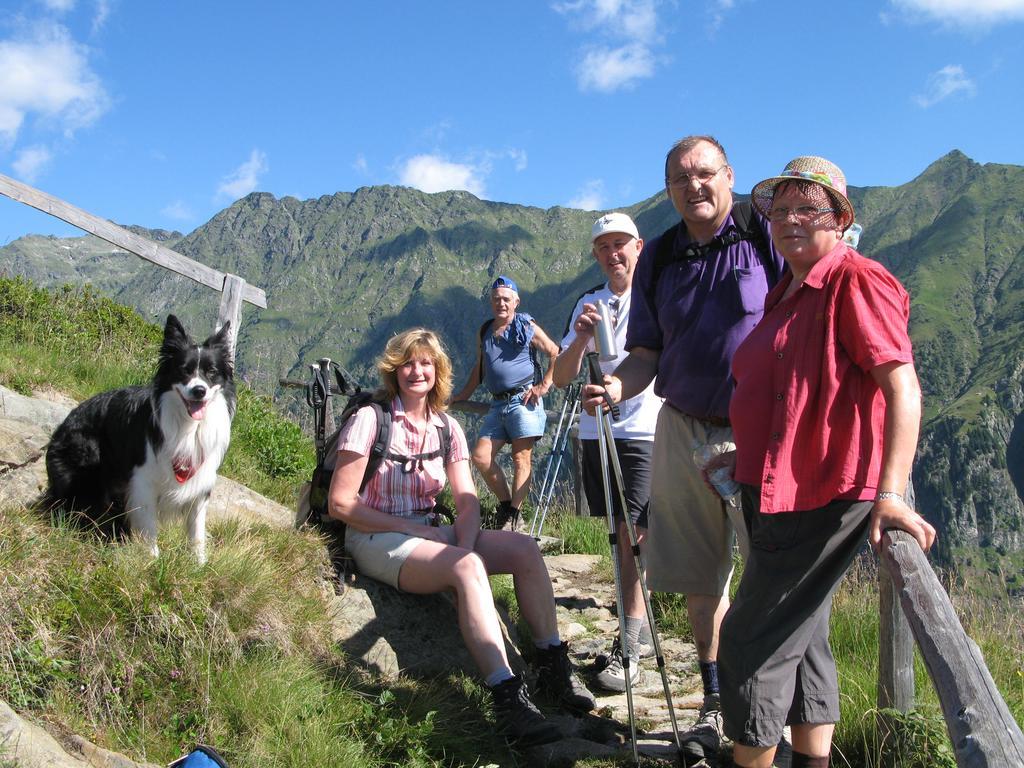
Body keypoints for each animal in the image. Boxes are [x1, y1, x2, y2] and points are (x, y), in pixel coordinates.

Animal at [46, 313, 235, 565]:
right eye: (184, 370)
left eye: (212, 372)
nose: (199, 391)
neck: (188, 427)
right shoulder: (143, 481)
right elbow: (148, 525)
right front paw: (152, 560)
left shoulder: (200, 484)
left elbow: (197, 532)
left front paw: (199, 565)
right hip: (84, 469)